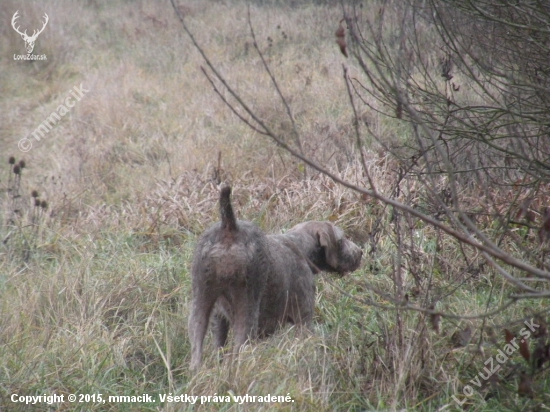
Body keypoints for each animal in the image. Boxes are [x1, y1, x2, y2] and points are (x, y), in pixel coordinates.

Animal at [188, 185, 364, 368]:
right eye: (341, 239)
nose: (360, 252)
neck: (301, 248)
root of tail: (229, 225)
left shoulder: (219, 317)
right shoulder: (303, 317)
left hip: (200, 302)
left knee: (196, 349)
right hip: (248, 306)